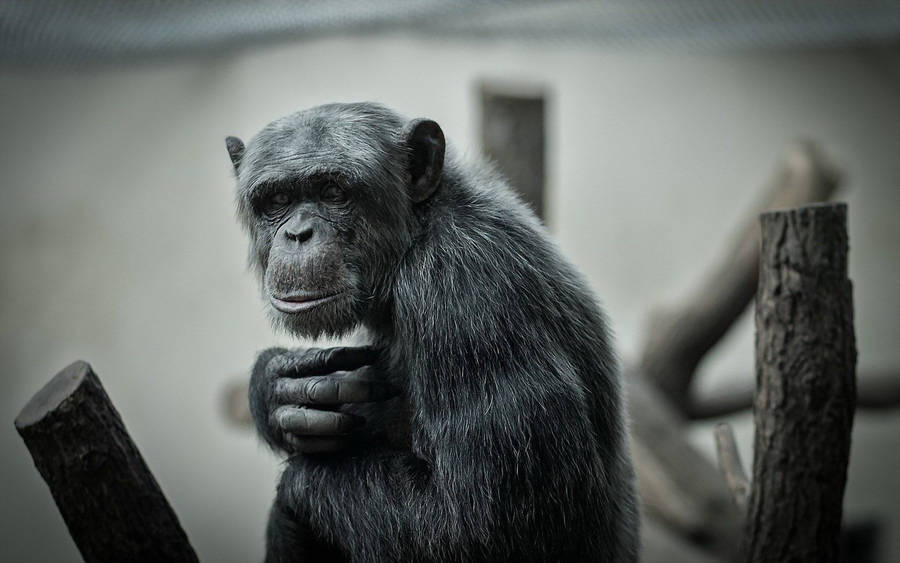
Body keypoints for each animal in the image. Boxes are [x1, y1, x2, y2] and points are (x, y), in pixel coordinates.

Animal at [225, 102, 639, 562]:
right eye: (278, 200)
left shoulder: (468, 294)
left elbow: (475, 524)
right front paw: (276, 385)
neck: (417, 232)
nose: (298, 234)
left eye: (333, 192)